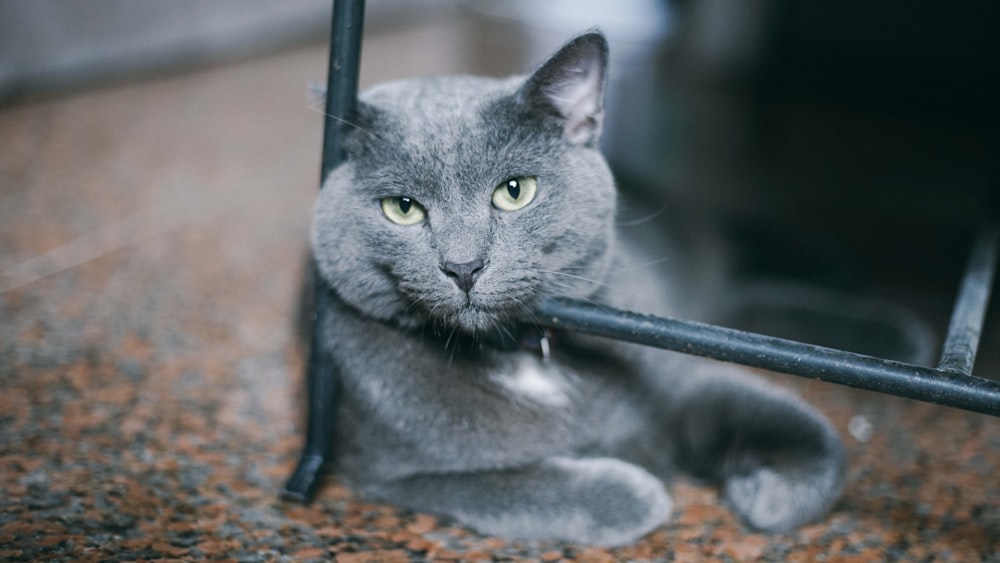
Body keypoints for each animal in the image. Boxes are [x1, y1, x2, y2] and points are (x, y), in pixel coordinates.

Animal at [312, 29, 844, 548]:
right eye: (402, 208)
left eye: (514, 191)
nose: (463, 266)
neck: (521, 353)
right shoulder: (390, 473)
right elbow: (510, 488)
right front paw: (637, 492)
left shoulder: (685, 378)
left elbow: (814, 435)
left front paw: (766, 497)